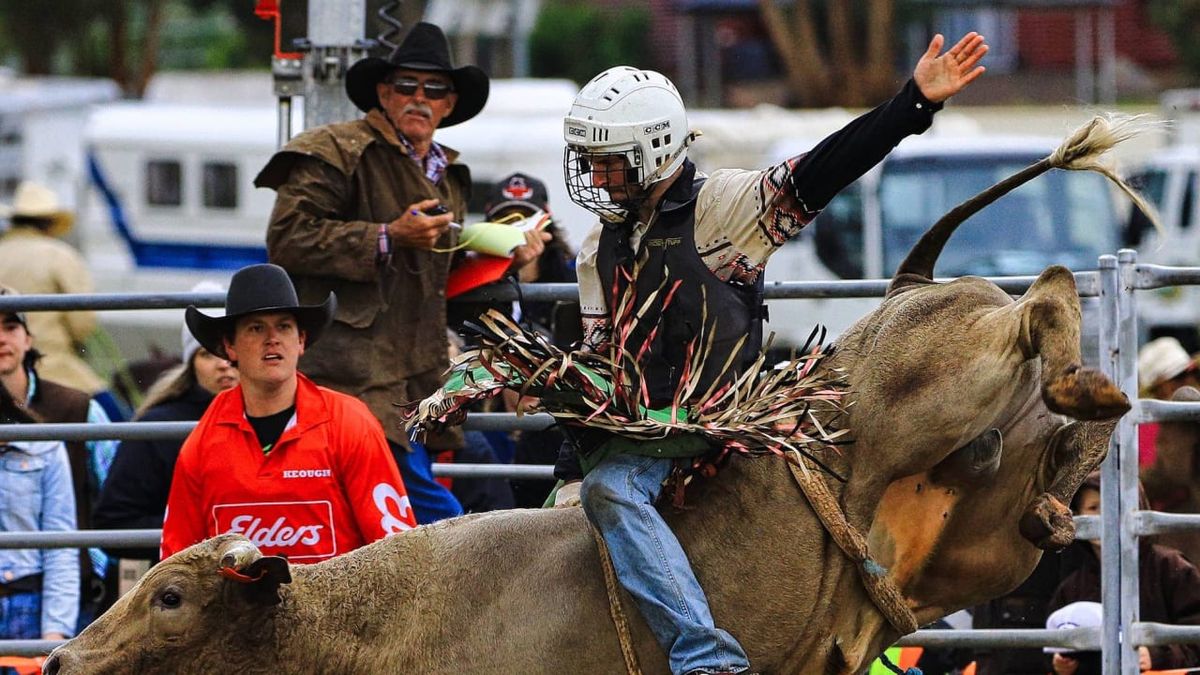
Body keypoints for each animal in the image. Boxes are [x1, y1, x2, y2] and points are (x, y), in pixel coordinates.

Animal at [49, 115, 1152, 672]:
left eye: (171, 595)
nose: (61, 662)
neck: (369, 625)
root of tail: (912, 285)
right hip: (980, 524)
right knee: (1039, 461)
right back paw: (1076, 457)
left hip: (940, 382)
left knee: (1047, 297)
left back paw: (1086, 374)